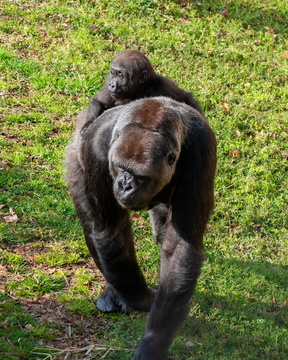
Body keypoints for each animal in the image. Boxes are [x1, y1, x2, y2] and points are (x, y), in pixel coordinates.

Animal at [67, 97, 216, 358]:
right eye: (120, 166)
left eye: (141, 176)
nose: (125, 186)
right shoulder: (96, 147)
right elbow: (110, 230)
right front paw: (144, 299)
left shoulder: (202, 153)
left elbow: (179, 247)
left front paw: (153, 341)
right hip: (78, 148)